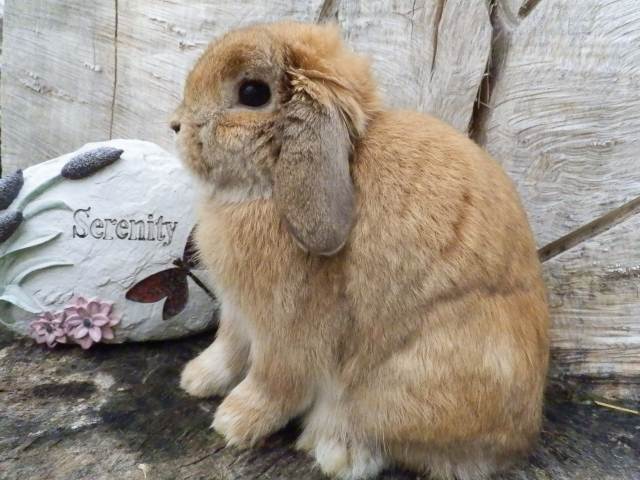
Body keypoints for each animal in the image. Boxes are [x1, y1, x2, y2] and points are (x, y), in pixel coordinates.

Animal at [175, 20, 552, 478]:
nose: (175, 125)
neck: (270, 188)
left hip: (409, 384)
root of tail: (518, 440)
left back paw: (336, 450)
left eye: (252, 93)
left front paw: (232, 422)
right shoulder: (237, 314)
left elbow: (273, 383)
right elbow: (226, 350)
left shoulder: (286, 334)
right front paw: (195, 380)